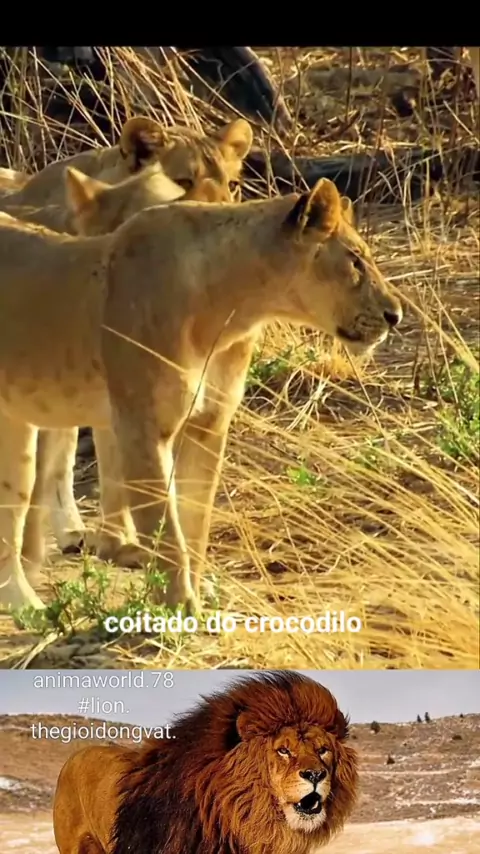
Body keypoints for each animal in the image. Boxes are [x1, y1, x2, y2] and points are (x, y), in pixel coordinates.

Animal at [0, 174, 402, 612]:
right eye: (355, 260)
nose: (395, 315)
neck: (232, 311)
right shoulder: (141, 426)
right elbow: (164, 527)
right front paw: (179, 606)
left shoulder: (208, 426)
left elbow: (194, 522)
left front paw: (197, 595)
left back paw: (26, 608)